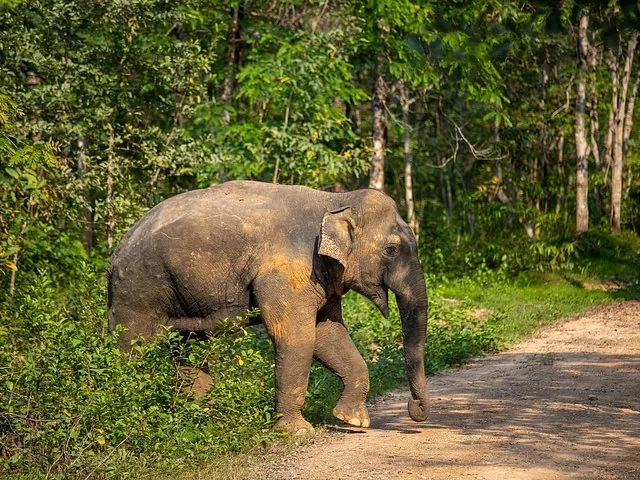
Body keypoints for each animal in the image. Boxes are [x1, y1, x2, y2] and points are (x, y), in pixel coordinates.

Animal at [108, 180, 429, 435]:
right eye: (392, 250)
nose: (415, 408)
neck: (334, 201)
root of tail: (116, 250)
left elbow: (328, 335)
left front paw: (353, 420)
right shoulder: (290, 271)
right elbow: (297, 338)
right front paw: (297, 432)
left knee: (188, 347)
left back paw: (202, 417)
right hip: (138, 288)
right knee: (133, 345)